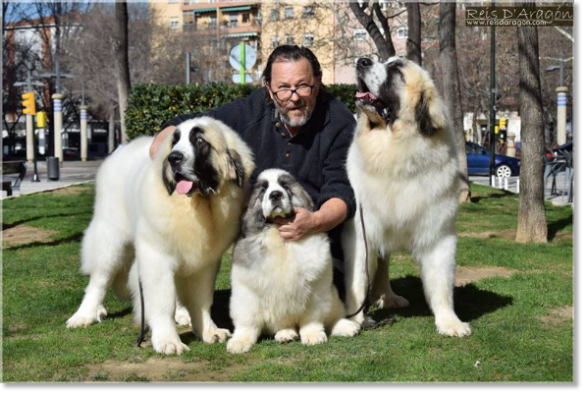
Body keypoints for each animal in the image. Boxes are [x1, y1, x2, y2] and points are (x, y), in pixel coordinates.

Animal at [66, 117, 253, 354]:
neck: (195, 207)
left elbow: (202, 299)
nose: (174, 158)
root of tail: (121, 149)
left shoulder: (205, 262)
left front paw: (208, 330)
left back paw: (183, 314)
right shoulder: (156, 257)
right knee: (99, 279)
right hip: (110, 238)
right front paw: (168, 340)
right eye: (174, 142)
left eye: (200, 141)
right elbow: (163, 300)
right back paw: (85, 314)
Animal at [226, 169, 358, 354]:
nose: (275, 194)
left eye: (285, 187)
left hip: (333, 296)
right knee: (283, 324)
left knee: (334, 316)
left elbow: (312, 318)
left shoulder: (316, 289)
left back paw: (346, 326)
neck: (279, 236)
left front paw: (313, 336)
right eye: (263, 190)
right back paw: (286, 334)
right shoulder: (246, 292)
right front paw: (239, 342)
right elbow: (247, 321)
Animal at [342, 57, 470, 338]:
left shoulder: (439, 232)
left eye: (396, 69)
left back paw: (387, 297)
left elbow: (441, 282)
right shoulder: (362, 232)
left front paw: (450, 322)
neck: (395, 154)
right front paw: (354, 320)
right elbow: (358, 280)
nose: (362, 60)